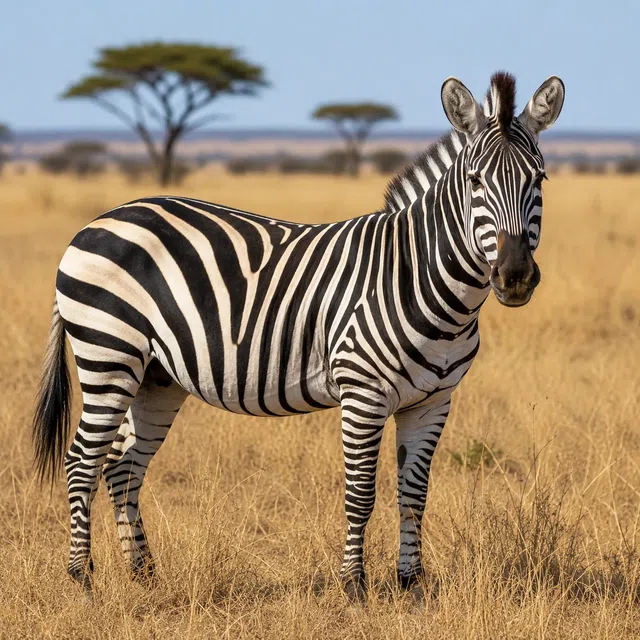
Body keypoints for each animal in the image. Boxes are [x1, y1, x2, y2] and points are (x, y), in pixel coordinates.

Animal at [33, 71, 564, 600]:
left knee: (122, 468)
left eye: (539, 179)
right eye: (475, 182)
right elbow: (361, 493)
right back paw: (82, 577)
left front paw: (411, 584)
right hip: (108, 354)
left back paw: (144, 574)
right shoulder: (363, 393)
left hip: (156, 377)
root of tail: (98, 221)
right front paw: (354, 587)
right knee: (81, 461)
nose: (515, 276)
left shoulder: (433, 401)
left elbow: (414, 495)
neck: (420, 278)